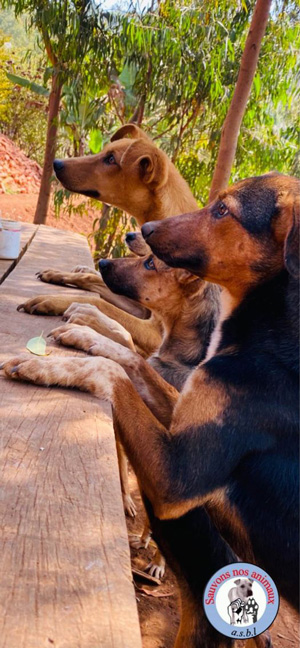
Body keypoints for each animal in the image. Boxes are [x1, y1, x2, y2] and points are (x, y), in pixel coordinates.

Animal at [1, 173, 298, 648]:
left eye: (222, 210)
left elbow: (111, 367)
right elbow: (124, 353)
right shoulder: (175, 406)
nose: (111, 254)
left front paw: (47, 361)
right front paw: (82, 327)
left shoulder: (177, 473)